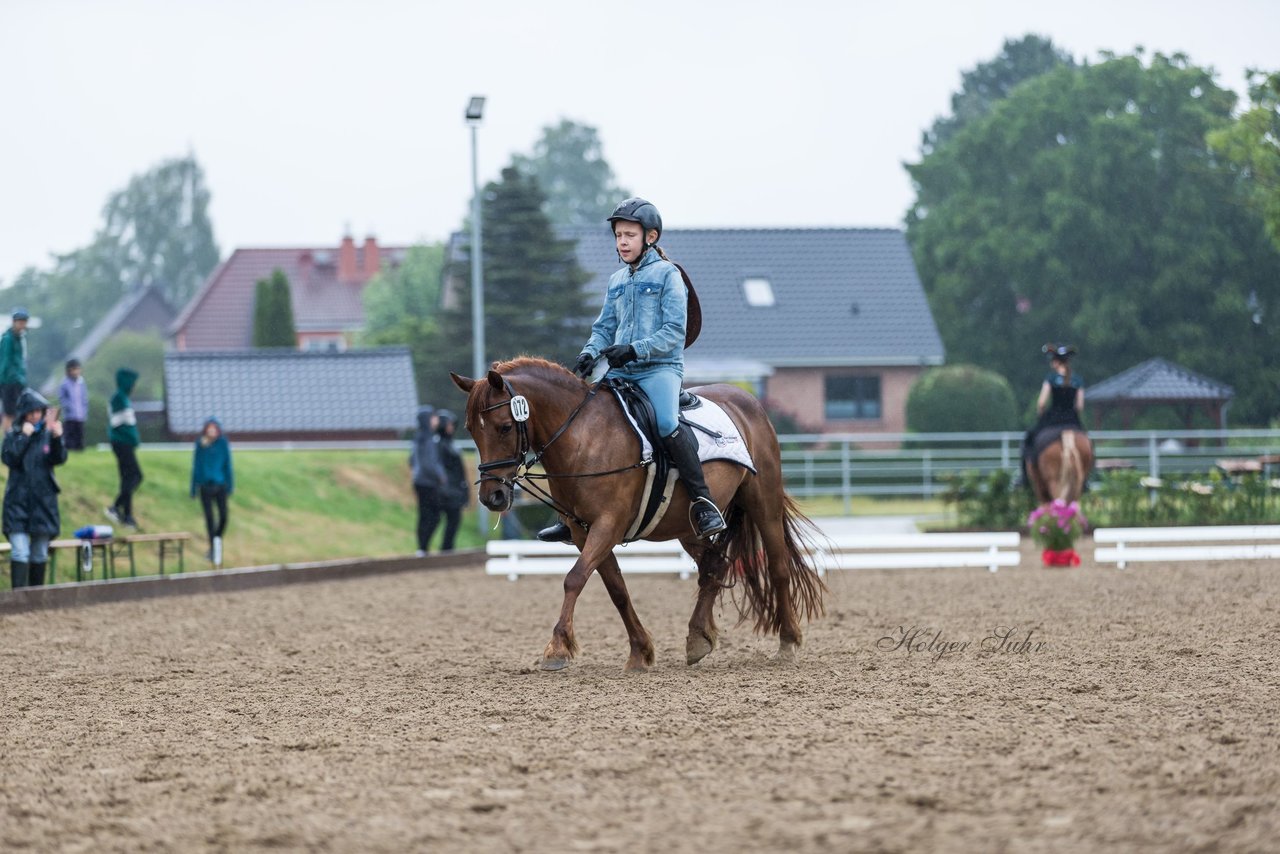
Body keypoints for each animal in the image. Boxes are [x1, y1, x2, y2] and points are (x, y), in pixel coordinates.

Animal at [455, 358, 824, 670]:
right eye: (471, 429)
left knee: (777, 567)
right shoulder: (583, 530)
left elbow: (574, 578)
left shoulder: (608, 524)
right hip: (687, 525)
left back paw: (788, 643)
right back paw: (697, 638)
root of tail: (746, 400)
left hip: (764, 504)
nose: (492, 496)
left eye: (504, 427)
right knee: (714, 566)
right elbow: (616, 589)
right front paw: (640, 652)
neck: (583, 438)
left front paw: (557, 649)